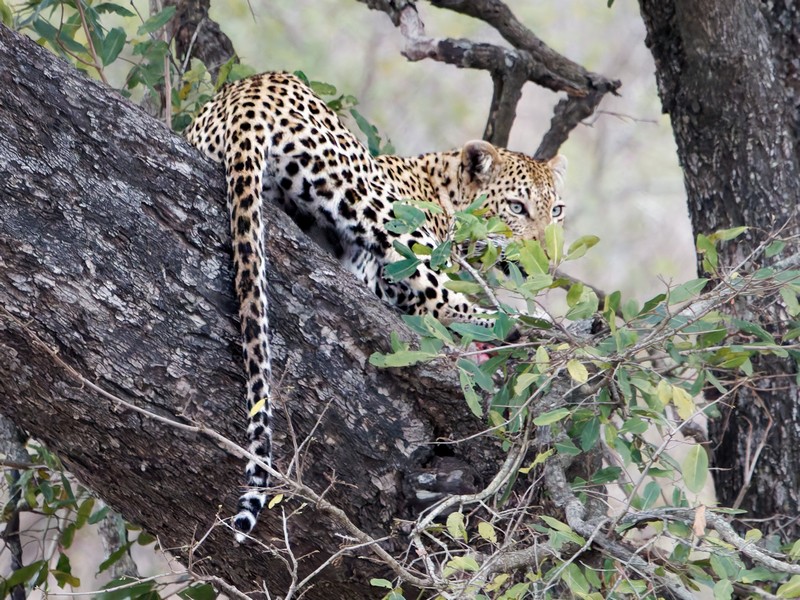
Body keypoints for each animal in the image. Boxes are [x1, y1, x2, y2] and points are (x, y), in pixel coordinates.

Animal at [184, 71, 564, 544]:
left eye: (557, 211)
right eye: (517, 207)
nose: (546, 258)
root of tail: (249, 91)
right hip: (371, 199)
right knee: (433, 288)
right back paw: (517, 329)